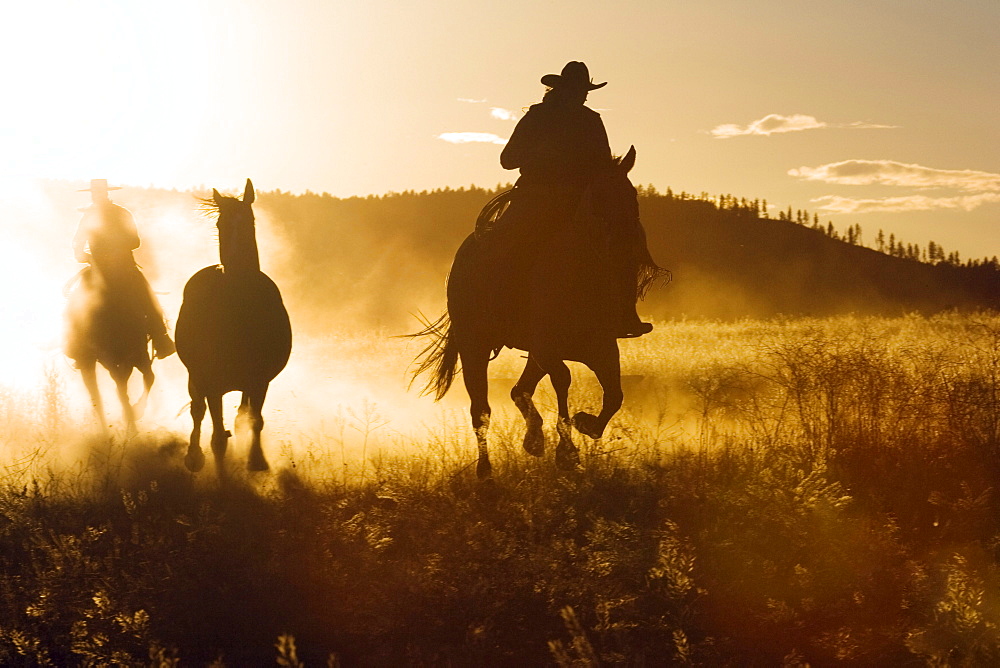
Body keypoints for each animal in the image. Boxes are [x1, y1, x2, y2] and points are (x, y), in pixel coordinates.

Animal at [64, 268, 155, 436]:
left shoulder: (138, 354)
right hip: (89, 363)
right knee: (96, 396)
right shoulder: (109, 358)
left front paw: (135, 412)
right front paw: (132, 421)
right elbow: (121, 387)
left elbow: (148, 378)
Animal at [176, 181, 292, 474]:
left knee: (241, 415)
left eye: (250, 221)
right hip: (196, 376)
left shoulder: (259, 379)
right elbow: (217, 435)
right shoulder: (211, 382)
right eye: (220, 223)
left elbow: (254, 420)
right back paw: (194, 456)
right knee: (198, 411)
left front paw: (256, 459)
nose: (234, 265)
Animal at [410, 147, 660, 480]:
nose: (623, 240)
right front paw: (566, 451)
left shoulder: (602, 349)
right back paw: (486, 470)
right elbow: (564, 380)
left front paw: (583, 424)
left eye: (632, 194)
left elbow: (614, 395)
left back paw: (533, 438)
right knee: (481, 411)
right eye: (598, 195)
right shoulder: (547, 348)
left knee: (519, 390)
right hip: (474, 347)